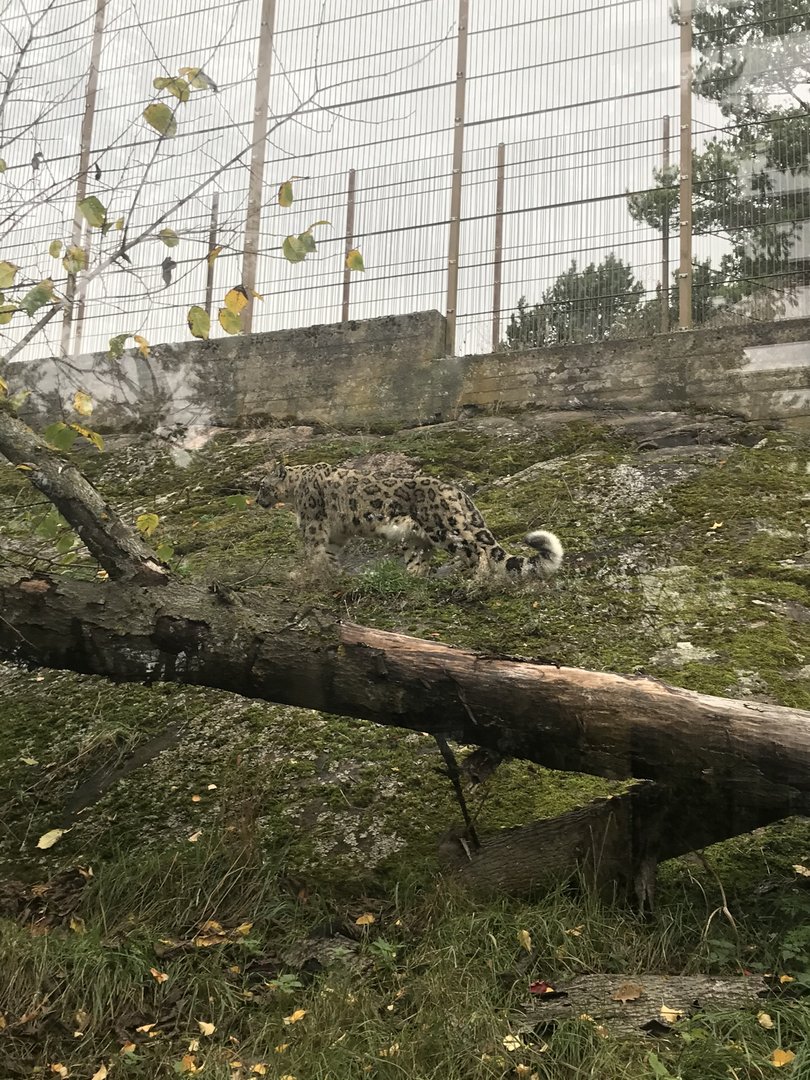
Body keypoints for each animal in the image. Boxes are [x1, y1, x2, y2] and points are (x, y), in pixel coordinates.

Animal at [256, 460, 563, 580]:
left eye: (262, 485)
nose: (258, 500)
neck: (295, 490)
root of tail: (457, 491)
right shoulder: (334, 534)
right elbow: (327, 555)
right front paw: (330, 572)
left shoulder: (313, 525)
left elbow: (313, 551)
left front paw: (303, 573)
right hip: (415, 538)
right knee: (423, 559)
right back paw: (417, 575)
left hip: (442, 529)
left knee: (474, 551)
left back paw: (466, 575)